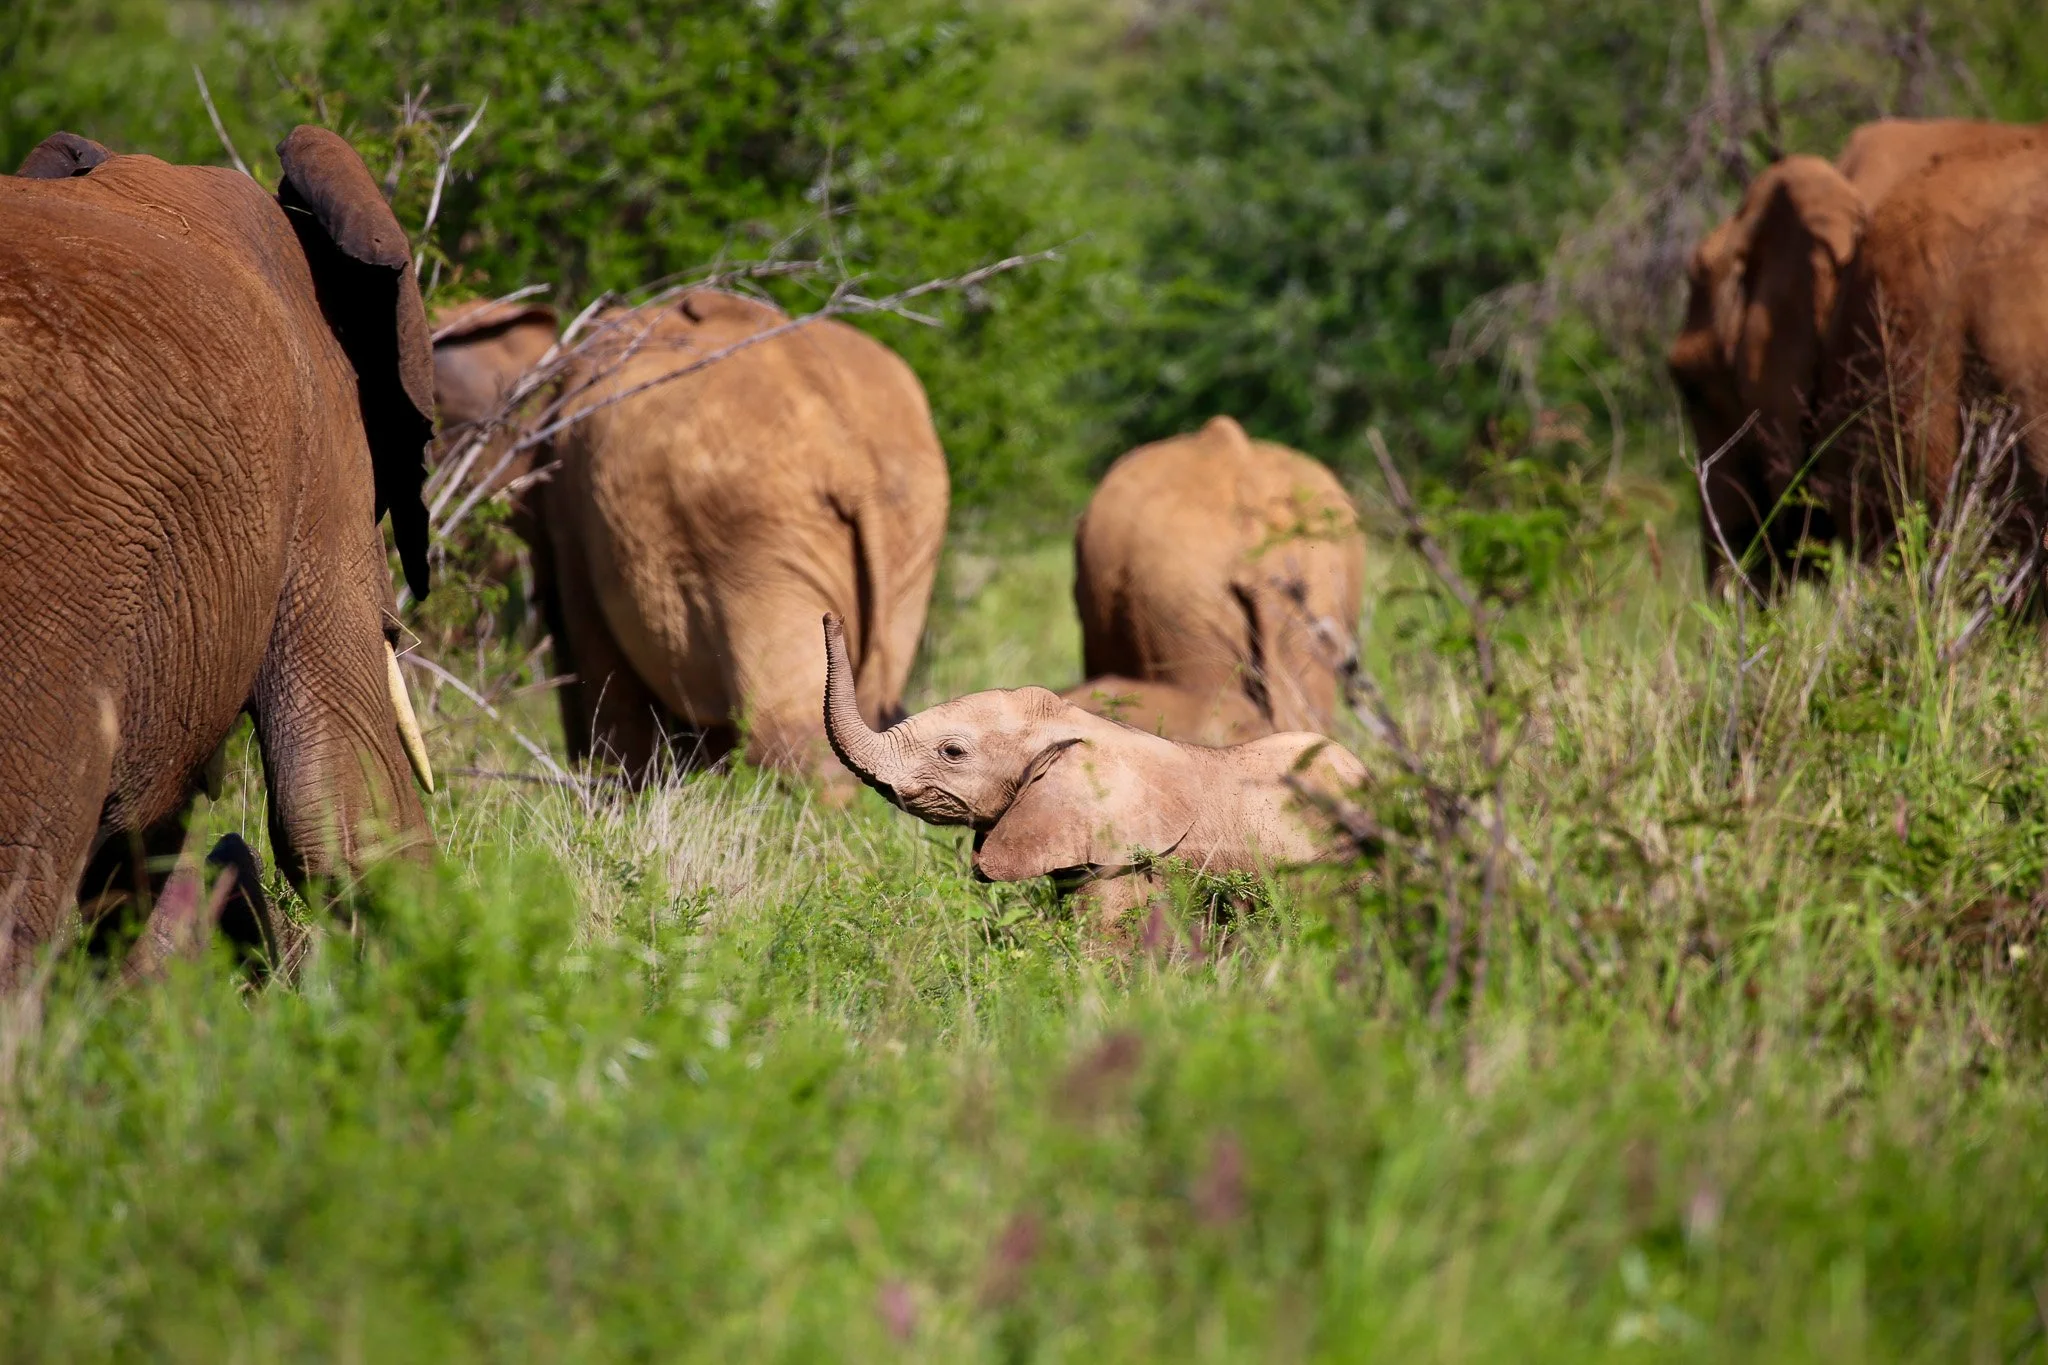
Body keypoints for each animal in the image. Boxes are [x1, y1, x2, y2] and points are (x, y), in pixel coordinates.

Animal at [431, 289, 949, 786]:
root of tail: (853, 459)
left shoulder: (575, 504)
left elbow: (601, 670)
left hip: (750, 533)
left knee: (789, 734)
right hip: (909, 526)